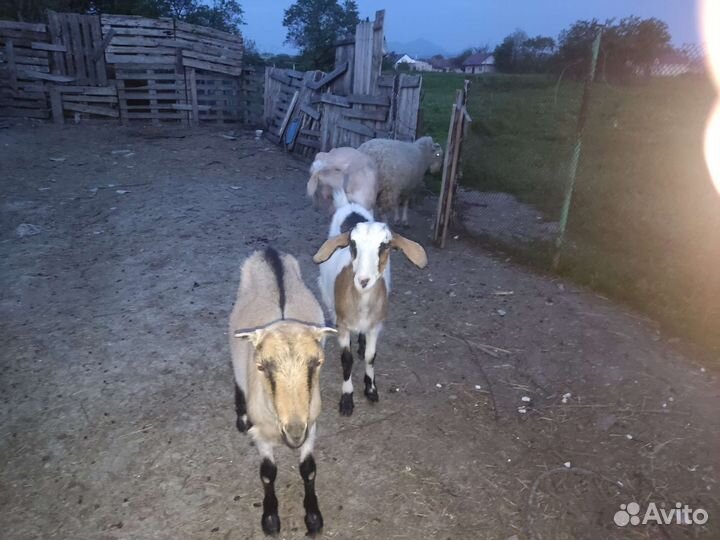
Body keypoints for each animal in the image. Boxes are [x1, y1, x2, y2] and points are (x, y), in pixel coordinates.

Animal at [229, 247, 336, 536]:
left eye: (318, 363)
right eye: (261, 366)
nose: (295, 431)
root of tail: (269, 251)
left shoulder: (312, 424)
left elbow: (308, 469)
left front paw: (313, 518)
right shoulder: (261, 435)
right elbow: (267, 473)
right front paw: (270, 520)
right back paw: (240, 417)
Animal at [312, 197, 427, 416]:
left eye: (385, 245)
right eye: (352, 244)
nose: (363, 281)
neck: (362, 302)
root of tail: (350, 205)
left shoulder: (376, 326)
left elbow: (370, 356)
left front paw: (371, 389)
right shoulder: (344, 325)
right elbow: (346, 360)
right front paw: (347, 399)